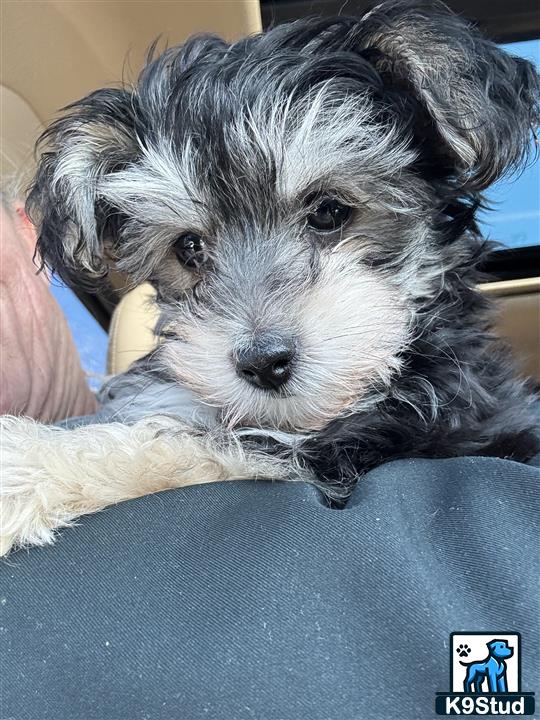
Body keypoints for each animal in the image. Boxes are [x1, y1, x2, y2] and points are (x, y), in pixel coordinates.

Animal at [1, 0, 540, 556]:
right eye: (189, 248)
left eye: (329, 212)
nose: (263, 363)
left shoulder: (363, 444)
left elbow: (197, 449)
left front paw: (29, 466)